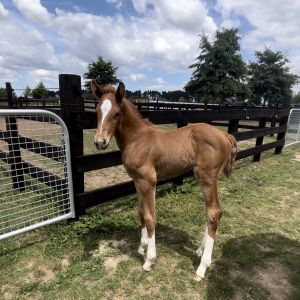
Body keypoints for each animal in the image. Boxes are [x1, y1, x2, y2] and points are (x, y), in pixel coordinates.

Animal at [91, 80, 237, 278]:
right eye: (97, 110)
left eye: (117, 113)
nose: (100, 142)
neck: (137, 139)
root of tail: (225, 135)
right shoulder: (137, 181)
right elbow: (141, 212)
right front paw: (142, 246)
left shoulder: (148, 182)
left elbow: (150, 217)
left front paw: (149, 260)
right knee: (211, 212)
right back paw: (199, 250)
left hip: (206, 178)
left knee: (214, 212)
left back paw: (202, 267)